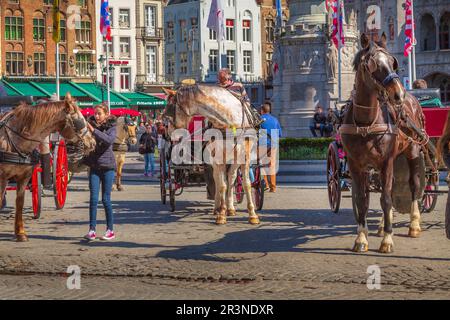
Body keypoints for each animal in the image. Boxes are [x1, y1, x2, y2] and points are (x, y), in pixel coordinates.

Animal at [0, 92, 96, 242]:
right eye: (80, 120)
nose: (93, 142)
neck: (16, 139)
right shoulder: (2, 177)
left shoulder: (24, 176)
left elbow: (19, 202)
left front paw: (20, 233)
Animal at [162, 85, 260, 225]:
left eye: (167, 114)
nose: (168, 136)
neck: (229, 120)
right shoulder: (218, 158)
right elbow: (222, 185)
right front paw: (221, 214)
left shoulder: (244, 157)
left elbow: (246, 184)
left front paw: (252, 214)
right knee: (218, 180)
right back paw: (217, 208)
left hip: (234, 160)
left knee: (231, 177)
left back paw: (230, 208)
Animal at [342, 32, 426, 252]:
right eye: (372, 64)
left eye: (392, 62)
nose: (398, 94)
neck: (366, 122)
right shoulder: (356, 164)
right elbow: (362, 199)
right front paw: (361, 238)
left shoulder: (386, 161)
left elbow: (386, 198)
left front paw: (388, 240)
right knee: (388, 186)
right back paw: (381, 225)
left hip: (413, 151)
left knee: (413, 185)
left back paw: (414, 224)